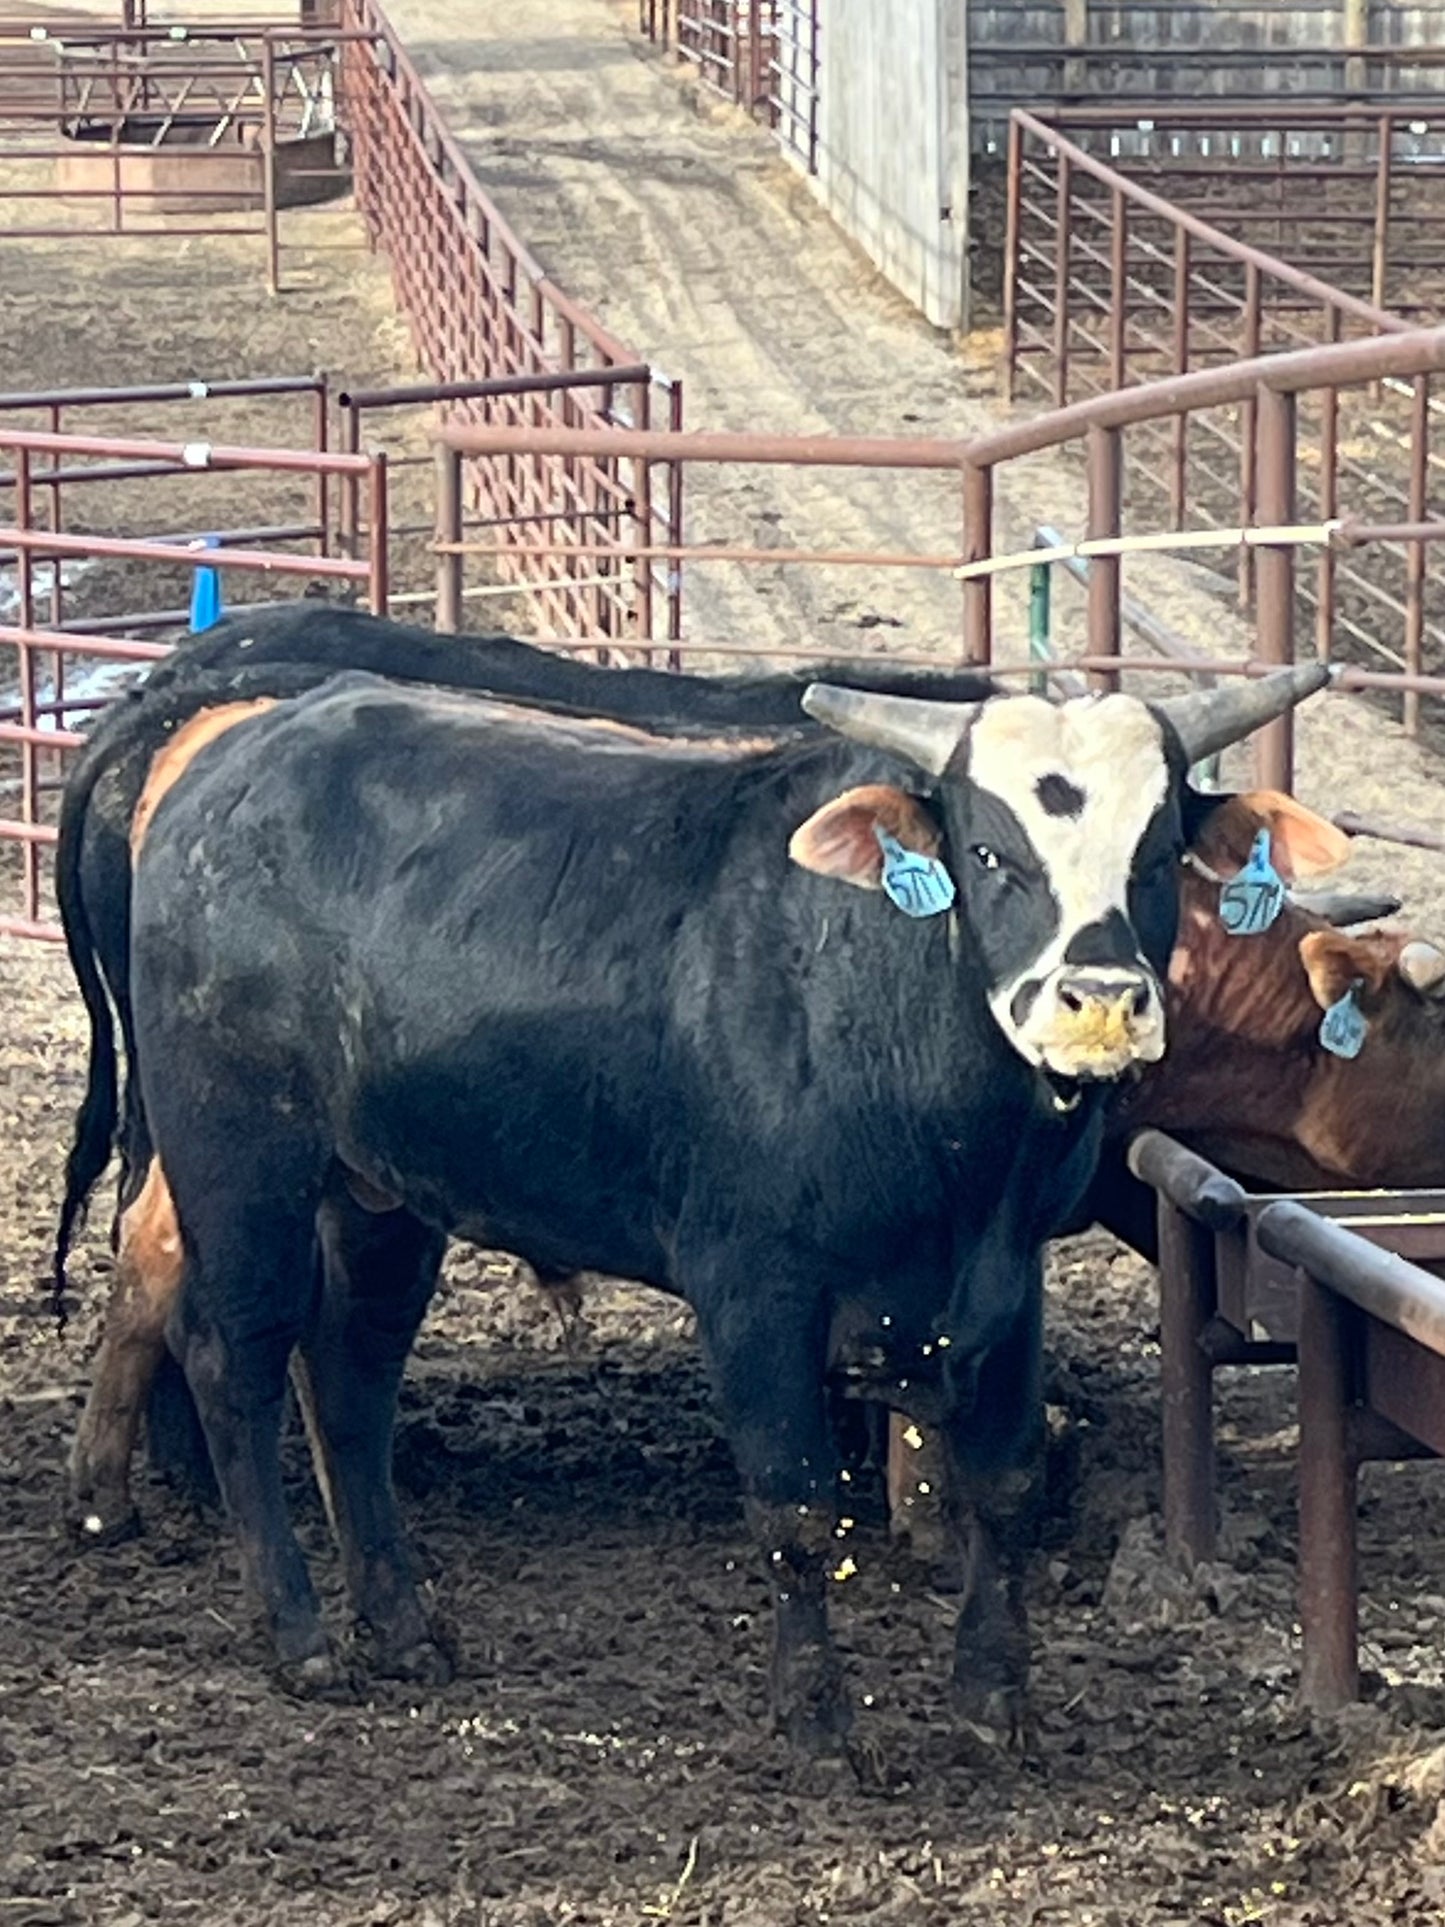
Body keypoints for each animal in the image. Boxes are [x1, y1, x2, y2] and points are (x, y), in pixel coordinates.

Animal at [104, 662, 1324, 1754]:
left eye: (1156, 854)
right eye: (989, 852)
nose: (1100, 1003)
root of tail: (224, 757)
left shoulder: (1004, 1279)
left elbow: (1006, 1485)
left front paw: (994, 1700)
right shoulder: (754, 1288)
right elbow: (794, 1510)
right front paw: (818, 1722)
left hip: (384, 1198)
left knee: (351, 1379)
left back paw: (401, 1625)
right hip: (243, 1161)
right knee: (237, 1361)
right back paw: (300, 1632)